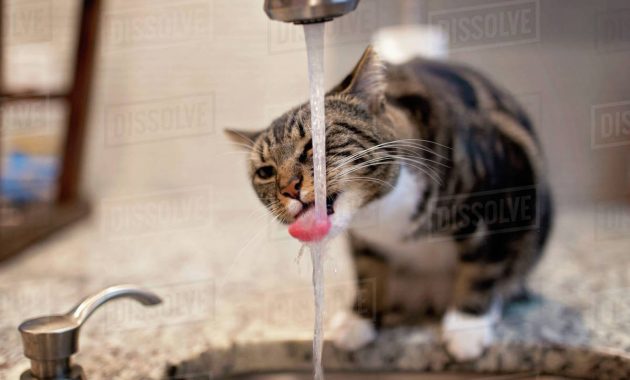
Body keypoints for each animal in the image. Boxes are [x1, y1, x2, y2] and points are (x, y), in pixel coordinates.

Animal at [226, 46, 552, 360]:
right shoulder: (364, 242)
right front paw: (359, 320)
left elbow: (482, 268)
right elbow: (369, 272)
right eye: (265, 172)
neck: (382, 211)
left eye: (313, 146)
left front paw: (466, 328)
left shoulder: (500, 202)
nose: (288, 188)